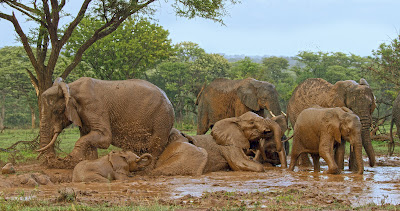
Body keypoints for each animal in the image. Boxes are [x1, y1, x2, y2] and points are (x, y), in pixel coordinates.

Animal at [36, 77, 174, 168]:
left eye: (56, 111)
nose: (52, 160)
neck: (70, 87)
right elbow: (88, 137)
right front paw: (88, 162)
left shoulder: (94, 106)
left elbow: (104, 136)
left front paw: (68, 160)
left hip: (161, 119)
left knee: (155, 145)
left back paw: (147, 170)